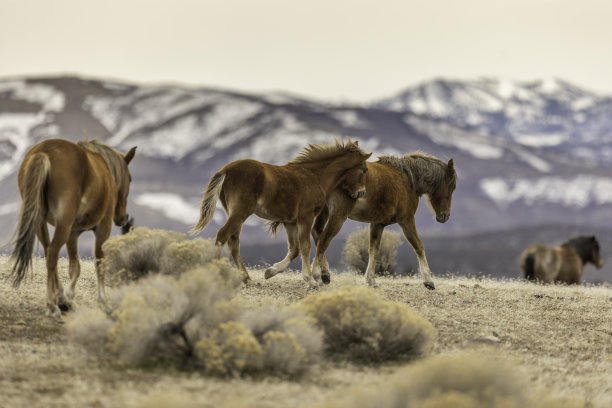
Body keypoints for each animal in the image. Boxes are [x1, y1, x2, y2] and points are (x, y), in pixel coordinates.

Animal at [10, 139, 136, 316]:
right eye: (130, 179)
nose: (123, 219)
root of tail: (44, 152)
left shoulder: (73, 233)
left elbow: (75, 267)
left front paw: (67, 297)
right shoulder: (103, 228)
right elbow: (99, 263)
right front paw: (103, 302)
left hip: (39, 221)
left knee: (49, 251)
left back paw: (59, 299)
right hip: (63, 224)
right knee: (52, 252)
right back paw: (52, 304)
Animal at [191, 139, 370, 286]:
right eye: (363, 170)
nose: (362, 193)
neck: (315, 177)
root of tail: (225, 170)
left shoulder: (290, 222)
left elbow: (294, 249)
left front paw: (271, 271)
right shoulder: (306, 217)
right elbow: (305, 246)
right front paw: (310, 279)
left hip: (235, 212)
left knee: (233, 241)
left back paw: (247, 278)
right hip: (241, 211)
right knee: (223, 235)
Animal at [266, 151, 454, 288]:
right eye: (451, 186)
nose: (444, 216)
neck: (408, 179)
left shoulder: (377, 224)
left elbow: (374, 250)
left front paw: (370, 279)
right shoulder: (406, 221)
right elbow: (419, 246)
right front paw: (428, 280)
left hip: (325, 212)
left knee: (317, 234)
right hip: (338, 216)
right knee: (323, 240)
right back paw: (317, 274)